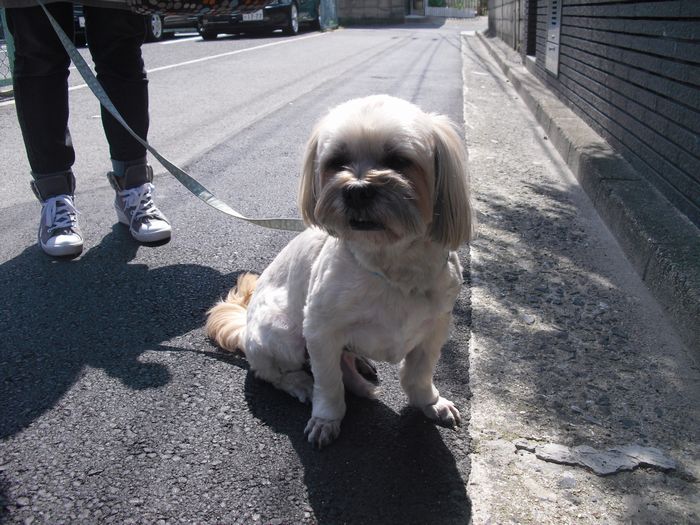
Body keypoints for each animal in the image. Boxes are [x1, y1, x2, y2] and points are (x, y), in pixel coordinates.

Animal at [206, 94, 474, 448]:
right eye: (337, 161)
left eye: (399, 160)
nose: (357, 189)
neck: (391, 265)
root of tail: (245, 326)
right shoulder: (320, 330)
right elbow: (329, 382)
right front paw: (326, 419)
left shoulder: (435, 327)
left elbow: (419, 373)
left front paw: (431, 403)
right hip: (282, 334)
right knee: (275, 373)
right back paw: (302, 384)